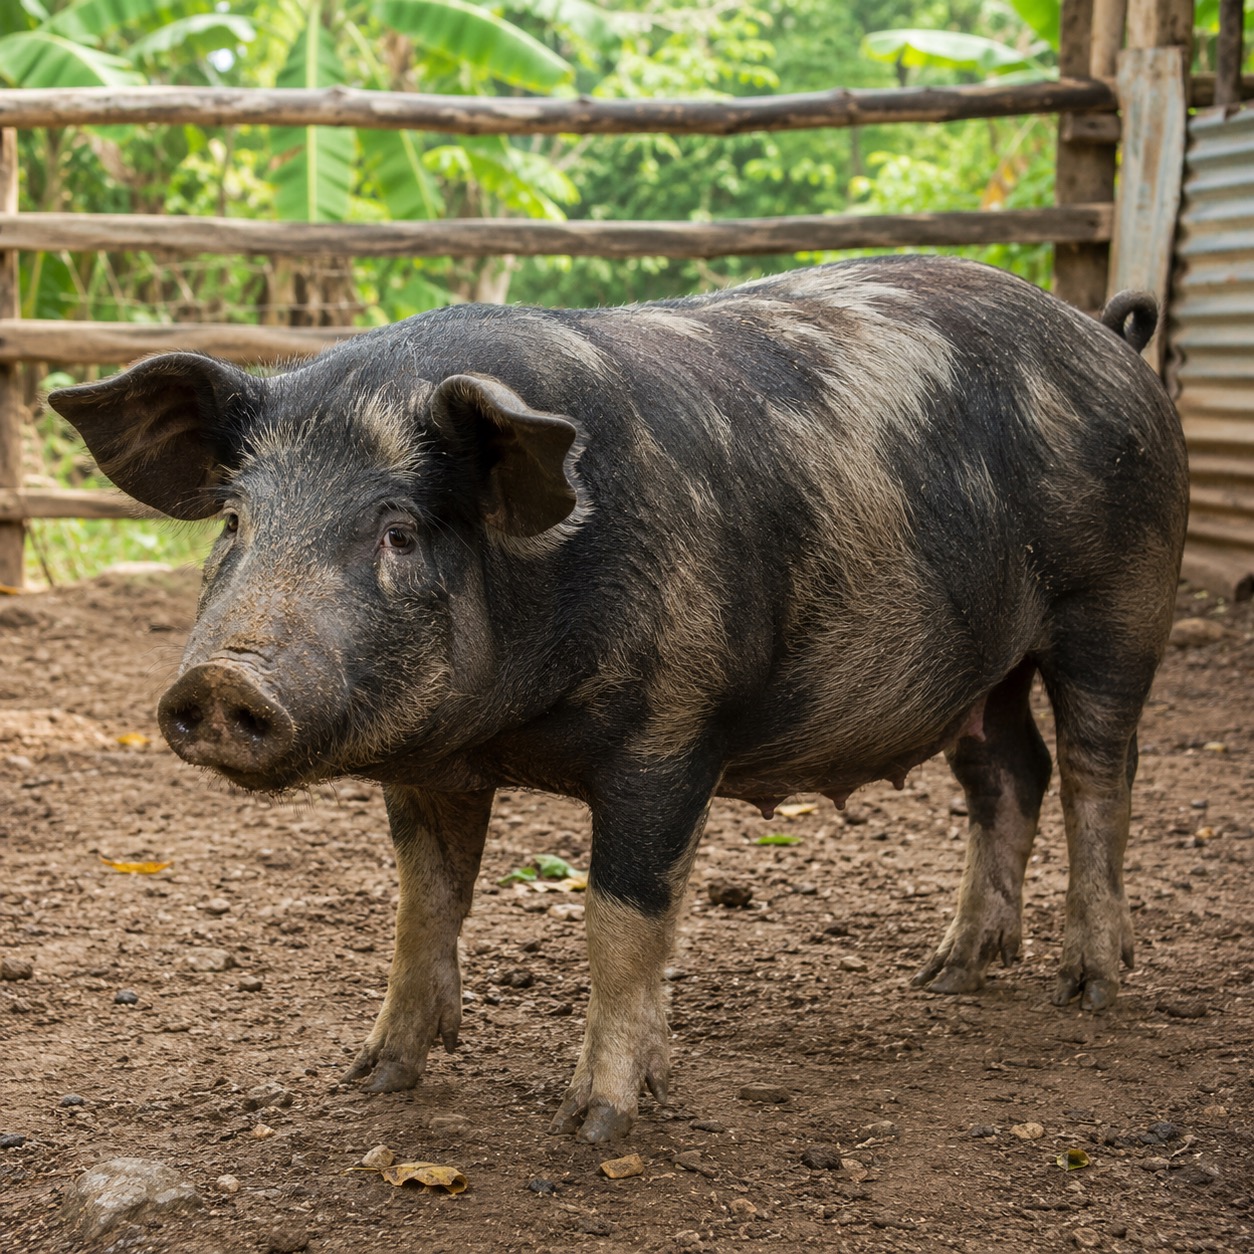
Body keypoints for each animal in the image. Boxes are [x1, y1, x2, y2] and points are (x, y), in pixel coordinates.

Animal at [50, 256, 1189, 1143]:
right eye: (233, 521)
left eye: (399, 531)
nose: (221, 680)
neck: (504, 725)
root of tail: (1109, 337)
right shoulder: (429, 764)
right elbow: (423, 903)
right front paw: (374, 1079)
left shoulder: (674, 730)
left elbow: (622, 918)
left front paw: (595, 1123)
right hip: (979, 667)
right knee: (1009, 772)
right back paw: (948, 974)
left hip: (1121, 606)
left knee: (1100, 775)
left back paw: (1089, 986)